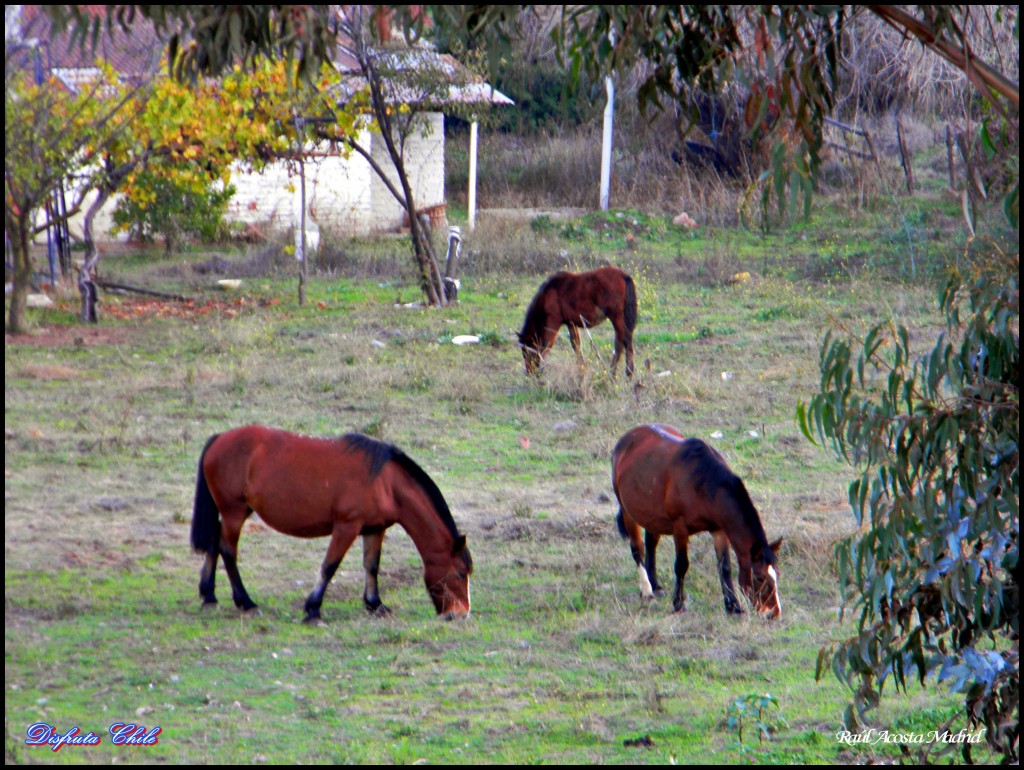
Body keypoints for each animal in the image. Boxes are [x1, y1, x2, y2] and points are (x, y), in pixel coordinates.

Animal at [191, 423, 471, 622]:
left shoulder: (374, 529)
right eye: (460, 573)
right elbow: (329, 566)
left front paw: (375, 605)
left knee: (215, 543)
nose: (460, 614)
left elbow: (371, 566)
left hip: (236, 512)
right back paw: (245, 602)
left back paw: (209, 596)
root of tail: (220, 438)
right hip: (234, 511)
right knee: (227, 551)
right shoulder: (347, 527)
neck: (386, 481)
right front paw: (313, 609)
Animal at [606, 423, 782, 618]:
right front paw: (678, 604)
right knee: (638, 549)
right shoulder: (680, 528)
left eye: (776, 574)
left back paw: (656, 585)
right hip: (629, 513)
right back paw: (647, 590)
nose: (774, 613)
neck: (704, 485)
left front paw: (733, 606)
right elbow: (681, 565)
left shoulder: (719, 530)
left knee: (651, 543)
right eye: (759, 577)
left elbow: (725, 567)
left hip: (651, 516)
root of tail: (626, 439)